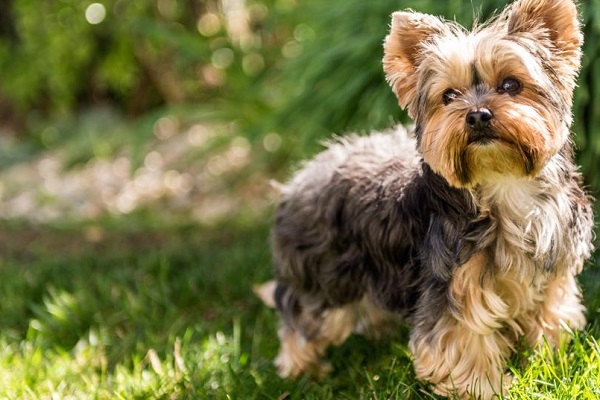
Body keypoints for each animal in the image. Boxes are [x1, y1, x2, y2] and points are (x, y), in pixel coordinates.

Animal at [254, 0, 596, 396]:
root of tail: (297, 180)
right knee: (301, 317)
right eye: (448, 96)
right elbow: (462, 342)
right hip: (325, 276)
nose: (477, 116)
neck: (503, 184)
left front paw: (548, 361)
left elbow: (550, 315)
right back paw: (301, 371)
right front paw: (485, 389)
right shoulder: (452, 285)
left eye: (511, 84)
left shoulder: (553, 271)